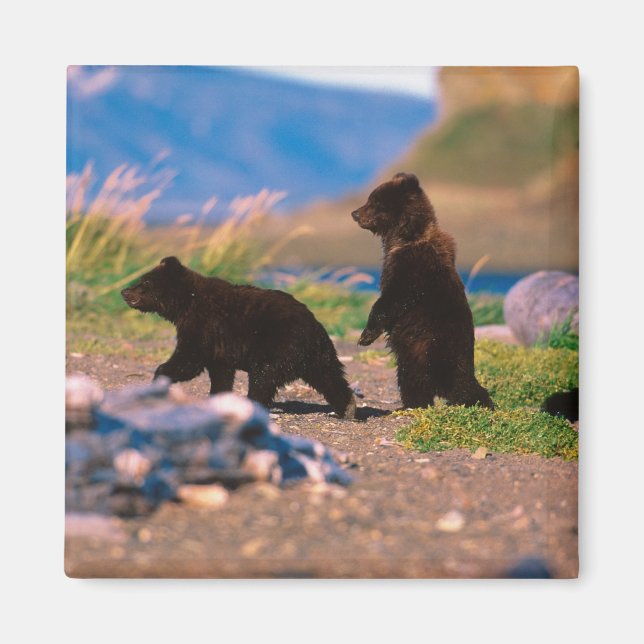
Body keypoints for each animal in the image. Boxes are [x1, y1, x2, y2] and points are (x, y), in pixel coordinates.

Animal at [121, 257, 356, 419]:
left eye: (145, 282)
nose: (124, 291)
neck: (185, 303)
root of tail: (315, 330)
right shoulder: (220, 345)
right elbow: (221, 372)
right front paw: (217, 397)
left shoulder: (203, 324)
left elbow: (189, 359)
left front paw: (159, 377)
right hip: (320, 357)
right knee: (329, 378)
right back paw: (348, 408)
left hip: (278, 345)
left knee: (263, 378)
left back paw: (253, 405)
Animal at [351, 172, 494, 410]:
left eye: (375, 202)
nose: (355, 213)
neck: (405, 237)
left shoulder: (412, 269)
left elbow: (391, 300)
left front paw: (366, 335)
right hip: (414, 351)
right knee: (412, 377)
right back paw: (412, 404)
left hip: (434, 346)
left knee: (450, 380)